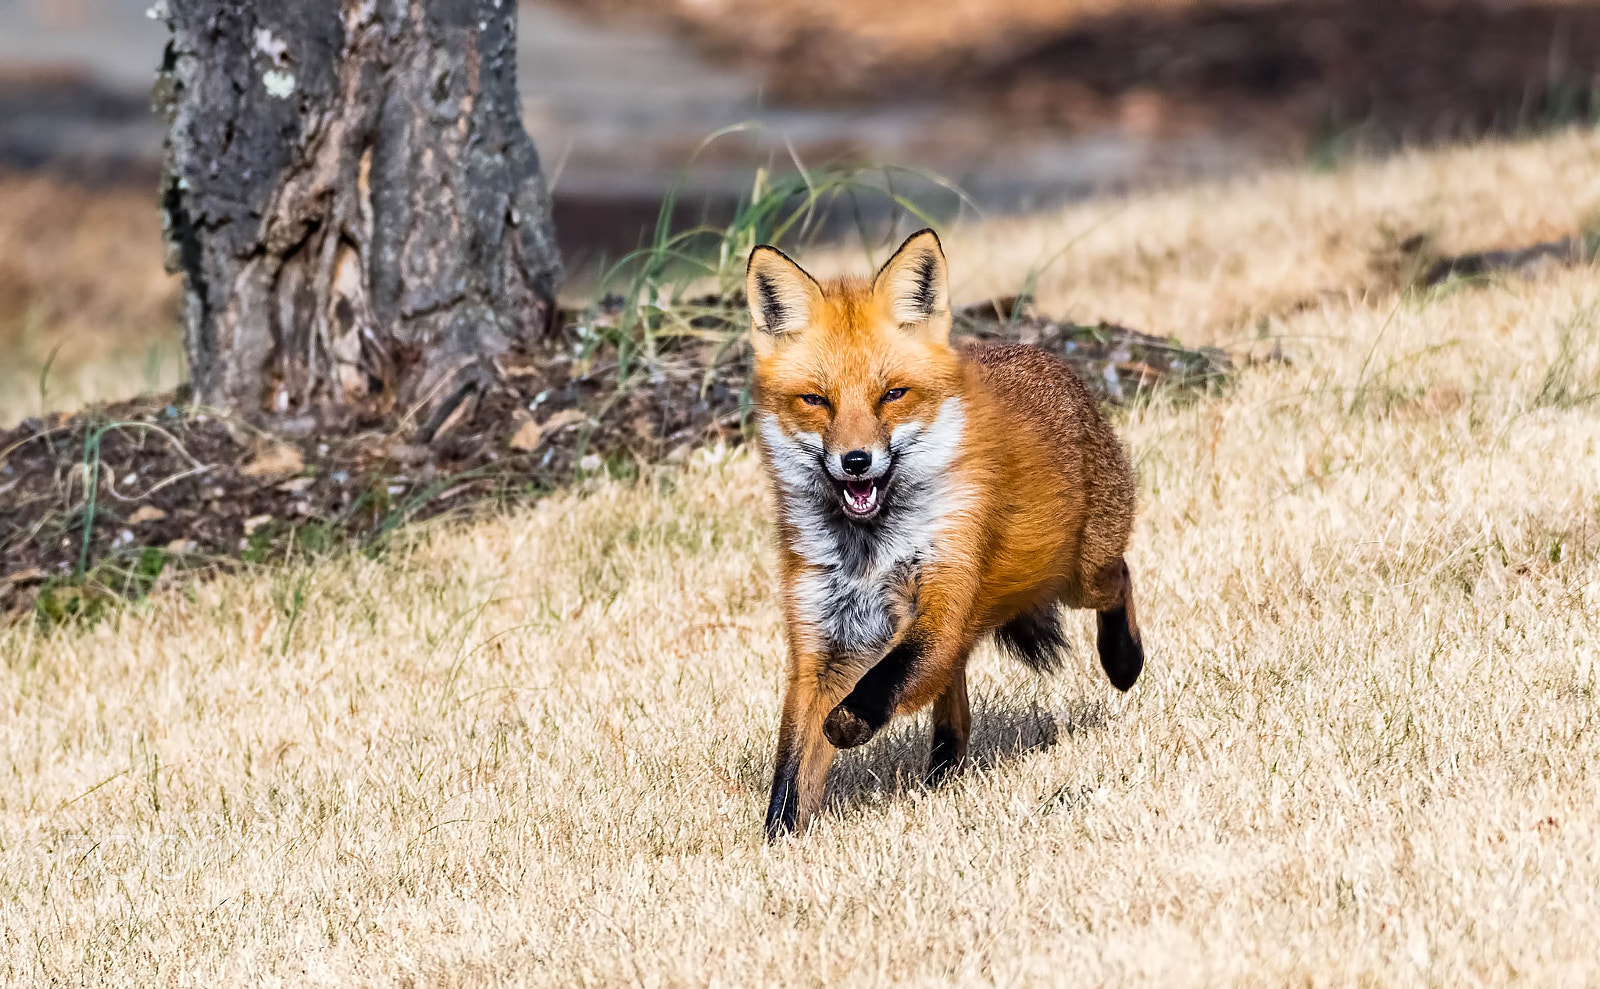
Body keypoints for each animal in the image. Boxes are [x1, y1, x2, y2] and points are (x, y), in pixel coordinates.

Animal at [747, 228, 1145, 838]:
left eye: (892, 394)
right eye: (816, 400)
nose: (856, 461)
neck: (869, 551)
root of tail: (1041, 356)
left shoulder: (942, 603)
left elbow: (879, 685)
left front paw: (848, 724)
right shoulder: (823, 641)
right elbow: (792, 768)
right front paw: (779, 843)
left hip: (1079, 577)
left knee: (1121, 577)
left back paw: (1124, 662)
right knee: (953, 702)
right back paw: (943, 771)